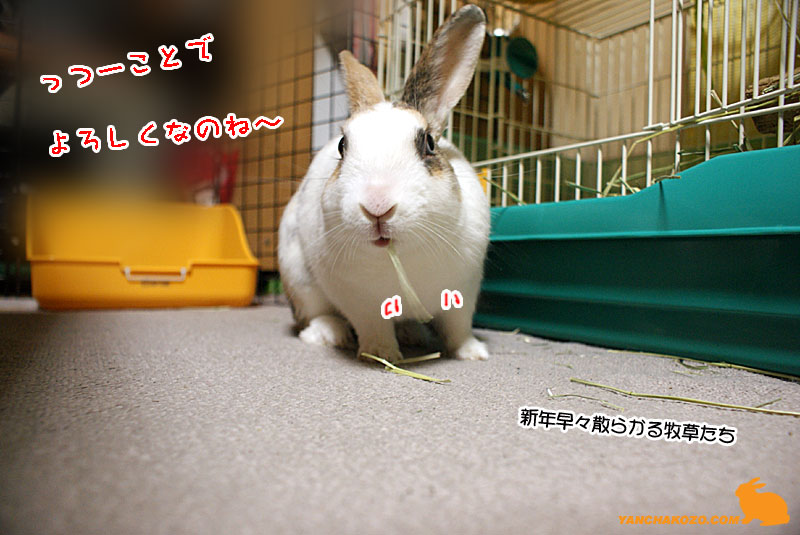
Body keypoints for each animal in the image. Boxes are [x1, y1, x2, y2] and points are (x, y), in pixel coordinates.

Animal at [278, 5, 490, 363]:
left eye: (429, 143)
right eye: (342, 146)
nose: (377, 206)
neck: (399, 253)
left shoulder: (464, 291)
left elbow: (457, 328)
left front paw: (473, 353)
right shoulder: (359, 302)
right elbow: (373, 327)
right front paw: (382, 355)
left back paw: (413, 334)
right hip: (298, 277)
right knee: (314, 314)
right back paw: (329, 335)